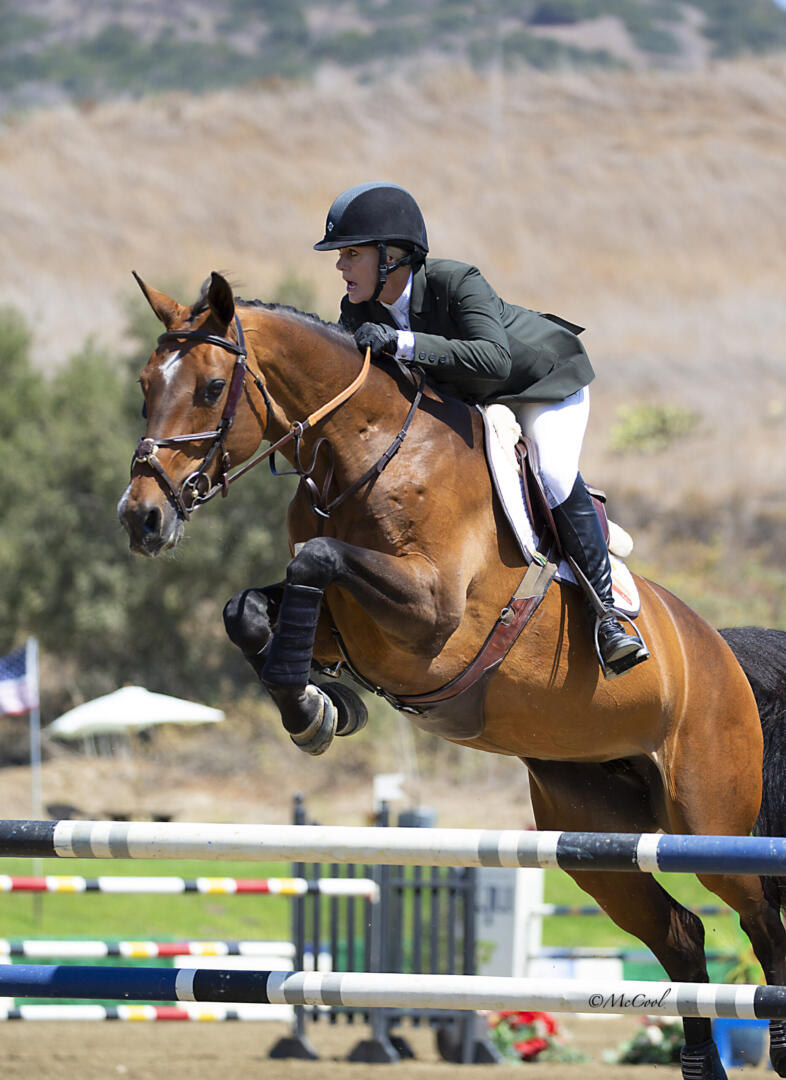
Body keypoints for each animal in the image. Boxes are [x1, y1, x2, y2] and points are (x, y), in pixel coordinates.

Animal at [118, 272, 786, 1080]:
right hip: (593, 837)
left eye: (213, 388)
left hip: (709, 821)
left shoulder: (430, 617)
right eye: (146, 385)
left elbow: (314, 561)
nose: (141, 519)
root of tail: (721, 651)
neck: (365, 455)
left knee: (760, 917)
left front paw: (313, 707)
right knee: (682, 935)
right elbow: (248, 607)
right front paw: (318, 707)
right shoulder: (351, 621)